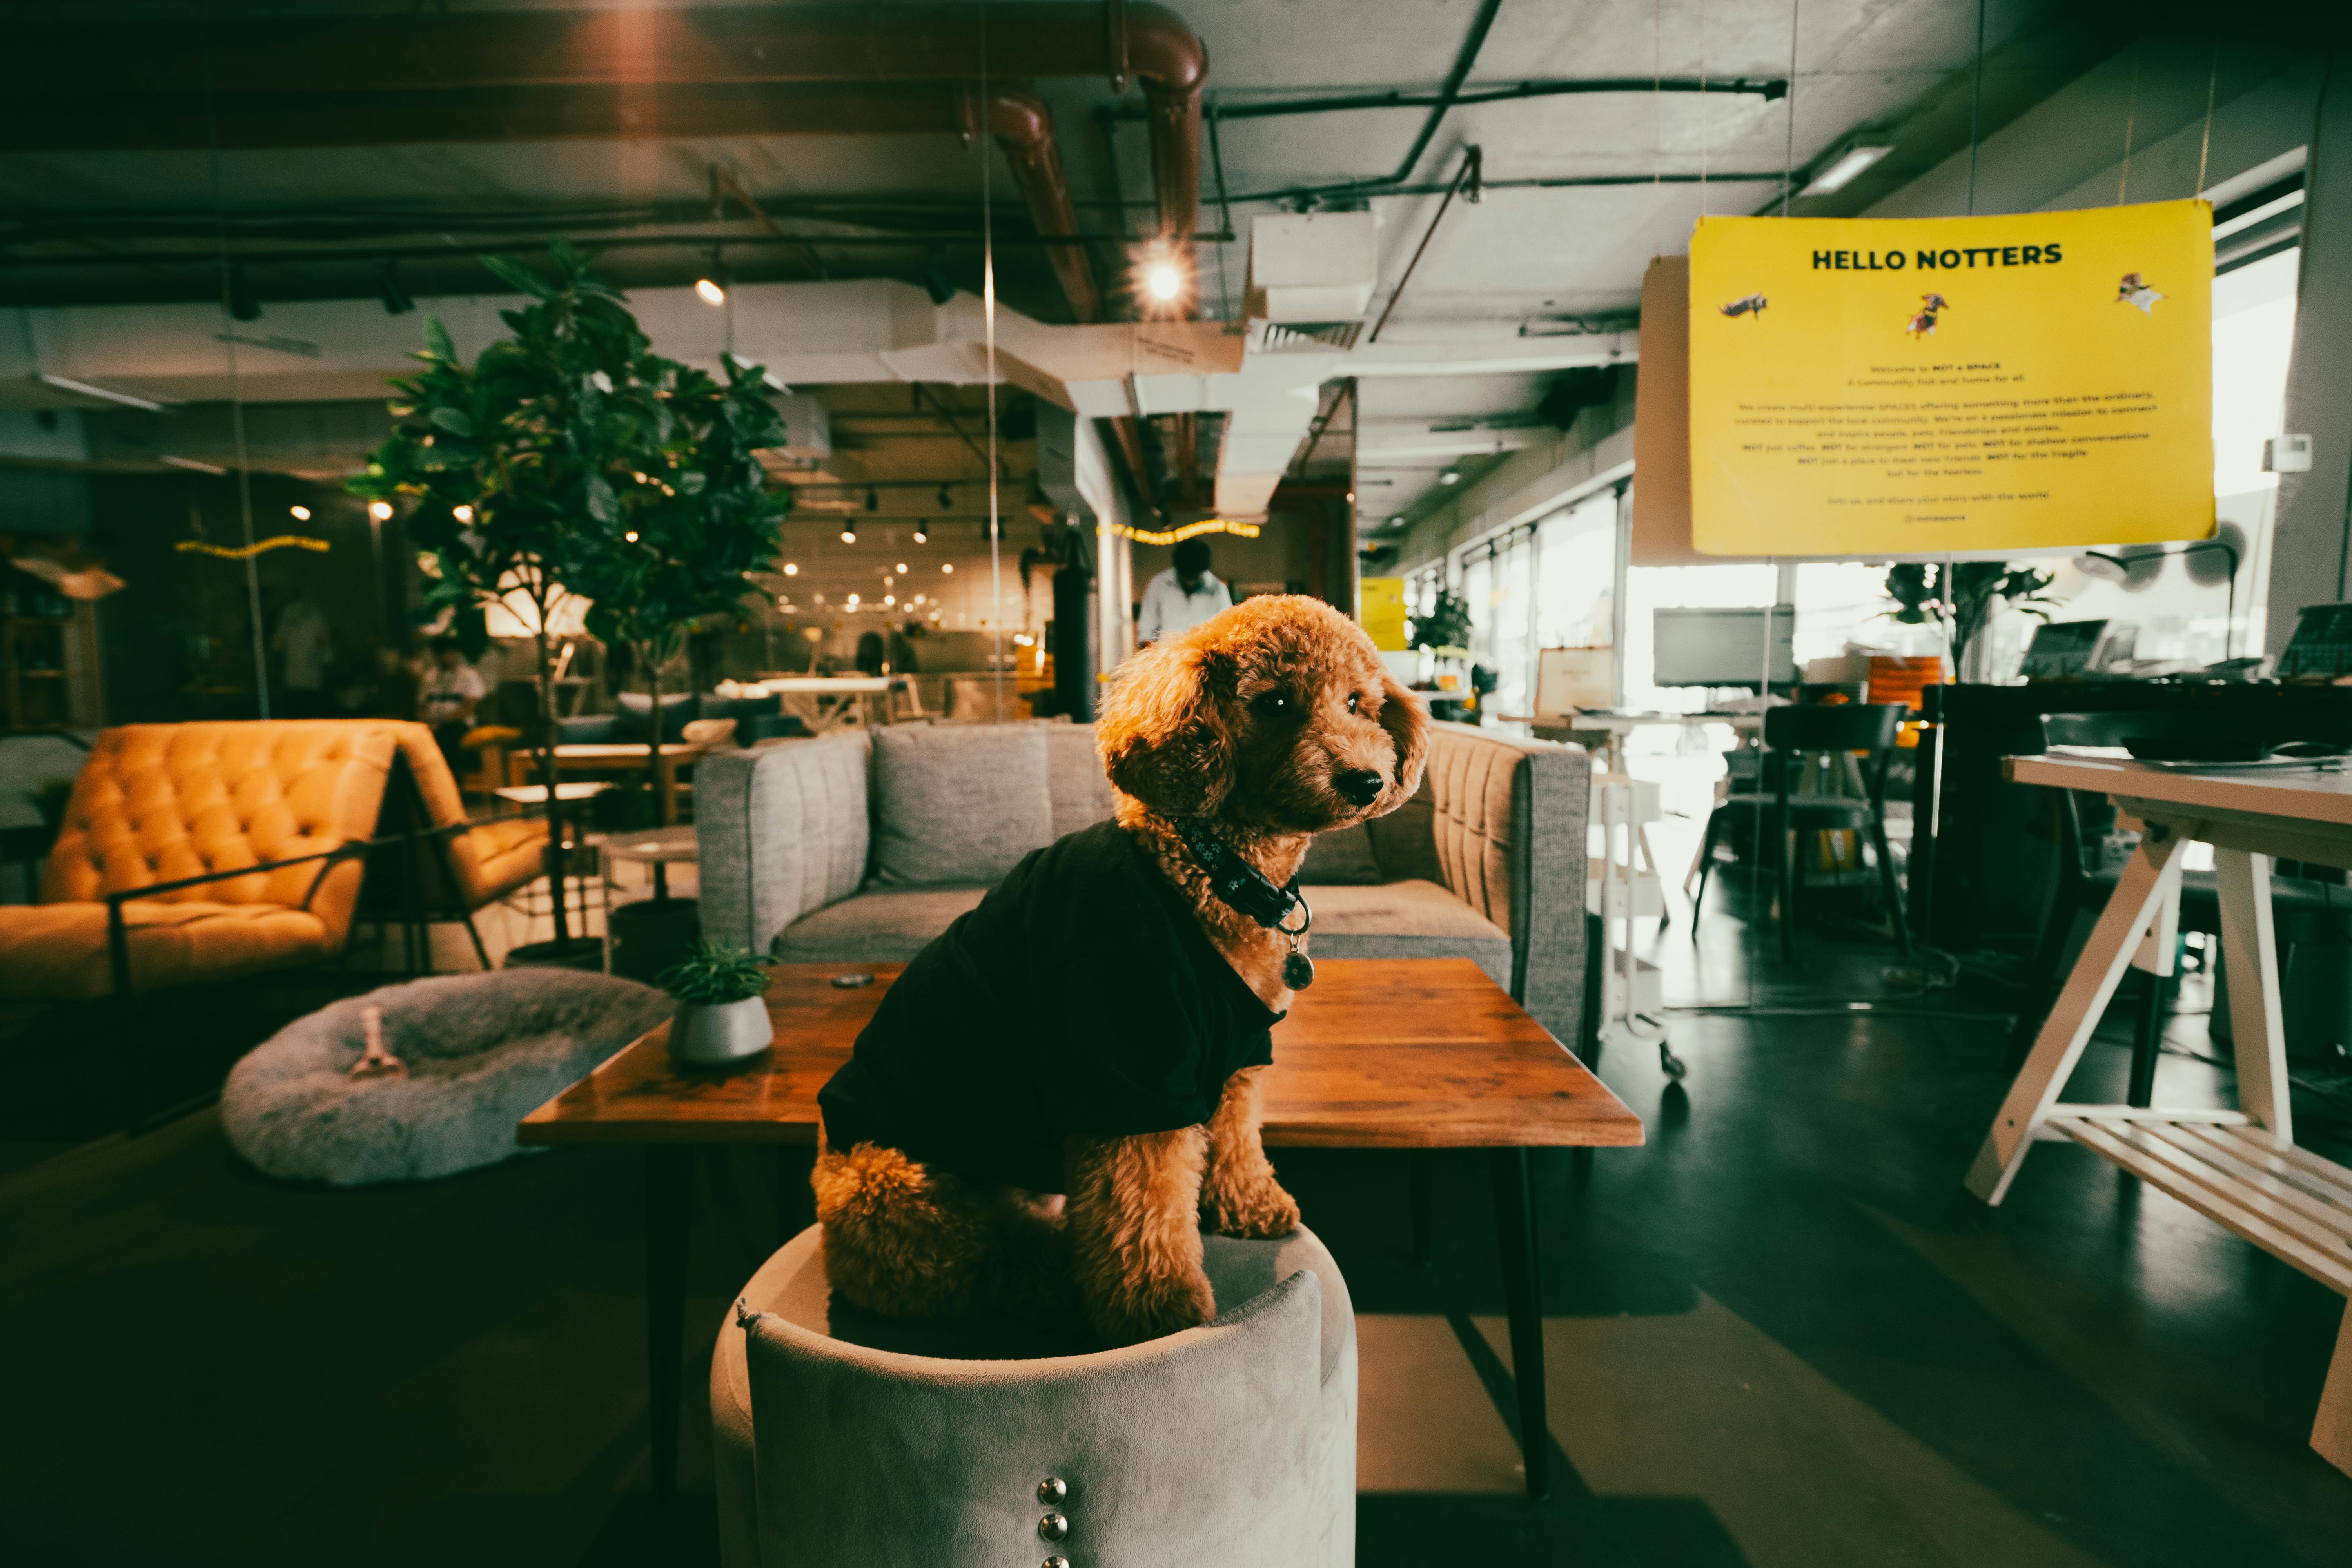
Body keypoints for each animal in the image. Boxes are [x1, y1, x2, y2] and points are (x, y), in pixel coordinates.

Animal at [809, 595, 1430, 1345]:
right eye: (1276, 702)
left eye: (1359, 703)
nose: (1366, 781)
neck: (1209, 871)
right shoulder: (1132, 1070)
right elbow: (1145, 1208)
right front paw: (1158, 1315)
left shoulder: (1237, 1056)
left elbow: (1236, 1138)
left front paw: (1251, 1206)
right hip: (901, 1190)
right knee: (977, 1270)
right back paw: (1046, 1284)